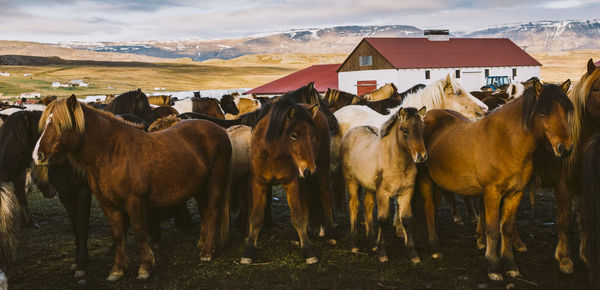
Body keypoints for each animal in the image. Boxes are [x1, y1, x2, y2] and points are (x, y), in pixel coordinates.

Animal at [32, 95, 232, 280]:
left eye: (60, 125)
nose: (37, 155)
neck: (112, 153)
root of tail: (219, 130)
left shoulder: (135, 202)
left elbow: (139, 232)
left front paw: (145, 268)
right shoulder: (108, 205)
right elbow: (117, 235)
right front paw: (117, 270)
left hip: (215, 183)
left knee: (213, 212)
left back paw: (207, 252)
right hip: (200, 188)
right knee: (205, 212)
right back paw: (202, 244)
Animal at [241, 96, 340, 264]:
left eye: (313, 136)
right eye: (293, 135)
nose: (310, 170)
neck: (274, 152)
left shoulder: (291, 183)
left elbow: (297, 216)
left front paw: (308, 250)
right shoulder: (258, 184)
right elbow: (256, 217)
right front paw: (249, 251)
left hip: (321, 169)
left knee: (325, 196)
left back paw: (331, 234)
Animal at [342, 107, 426, 266]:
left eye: (422, 127)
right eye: (405, 130)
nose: (421, 156)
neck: (397, 162)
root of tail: (351, 131)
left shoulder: (406, 192)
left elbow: (406, 219)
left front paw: (413, 254)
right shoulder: (383, 193)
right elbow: (383, 219)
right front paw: (382, 253)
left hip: (369, 186)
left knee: (367, 206)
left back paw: (372, 243)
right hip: (351, 181)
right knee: (353, 205)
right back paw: (355, 245)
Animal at [414, 80, 576, 280]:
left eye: (565, 111)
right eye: (543, 112)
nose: (565, 148)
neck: (507, 142)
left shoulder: (515, 194)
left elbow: (506, 229)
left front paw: (510, 264)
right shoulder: (492, 193)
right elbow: (491, 229)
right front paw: (492, 266)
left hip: (439, 183)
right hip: (425, 179)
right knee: (429, 209)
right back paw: (435, 248)